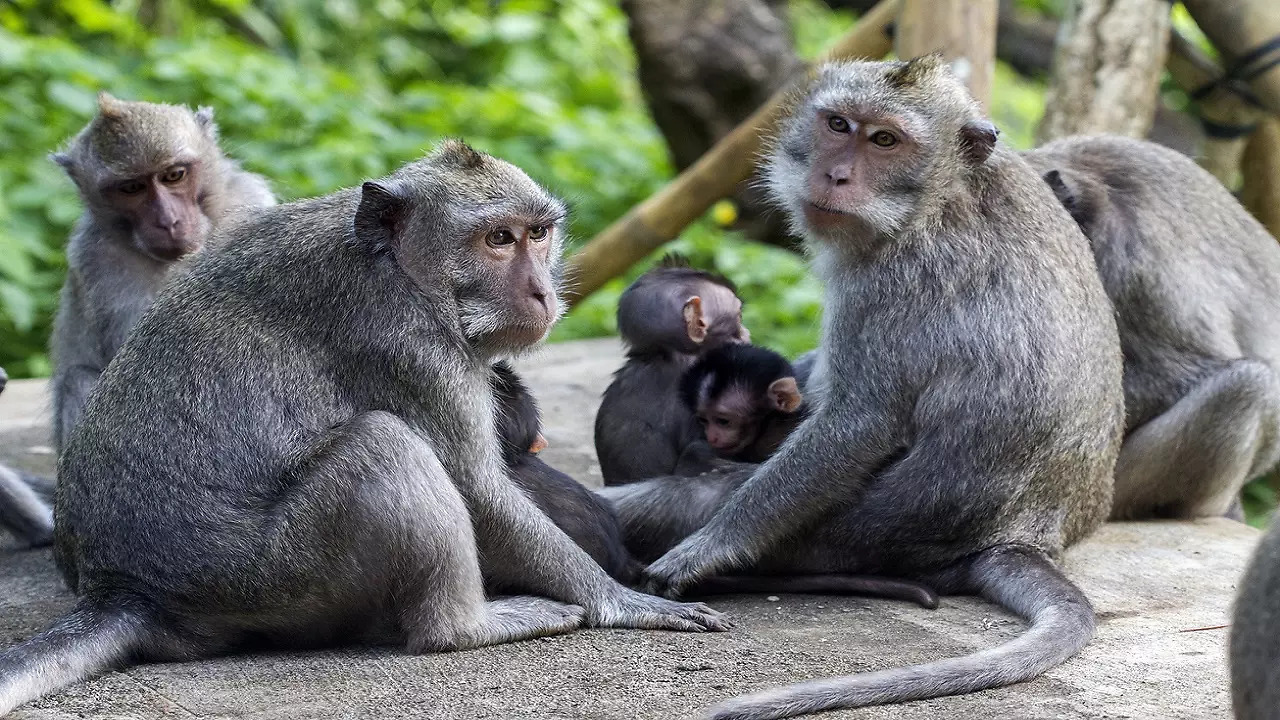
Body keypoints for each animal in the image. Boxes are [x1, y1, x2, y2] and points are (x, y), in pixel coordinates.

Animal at [0, 93, 276, 550]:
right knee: (80, 381)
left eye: (174, 175)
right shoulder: (97, 259)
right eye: (131, 188)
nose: (168, 222)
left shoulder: (252, 201)